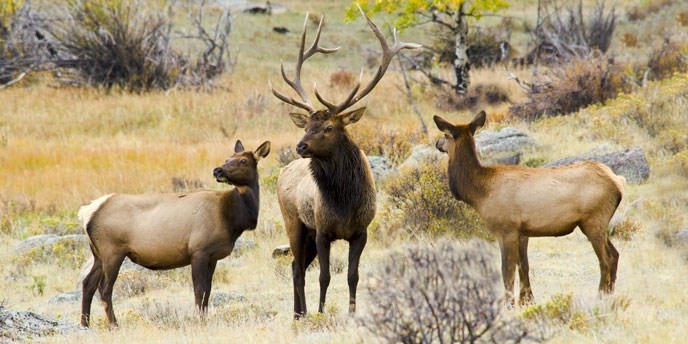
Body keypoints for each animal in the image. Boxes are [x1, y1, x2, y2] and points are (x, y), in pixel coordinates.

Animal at [76, 138, 268, 326]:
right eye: (228, 159)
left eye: (243, 161)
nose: (217, 170)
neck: (232, 219)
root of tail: (87, 213)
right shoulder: (198, 250)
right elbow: (199, 290)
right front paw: (199, 321)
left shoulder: (213, 256)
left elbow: (208, 290)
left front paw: (204, 318)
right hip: (112, 251)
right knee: (104, 288)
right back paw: (114, 325)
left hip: (98, 254)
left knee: (88, 283)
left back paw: (85, 324)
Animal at [268, 8, 420, 320]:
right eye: (307, 125)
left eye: (328, 127)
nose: (300, 146)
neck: (345, 203)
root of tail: (283, 171)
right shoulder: (323, 231)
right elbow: (324, 276)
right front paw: (321, 312)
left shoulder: (361, 232)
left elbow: (353, 276)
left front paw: (351, 312)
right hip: (295, 223)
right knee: (297, 268)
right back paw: (301, 314)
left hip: (308, 232)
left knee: (296, 265)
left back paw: (298, 312)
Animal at [436, 111, 624, 306]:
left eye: (445, 134)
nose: (437, 144)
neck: (480, 193)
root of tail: (618, 183)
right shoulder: (522, 231)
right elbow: (524, 266)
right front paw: (527, 301)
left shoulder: (506, 229)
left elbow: (507, 270)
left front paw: (509, 304)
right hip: (598, 223)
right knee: (615, 254)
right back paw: (610, 295)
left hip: (594, 220)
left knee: (606, 259)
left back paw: (600, 296)